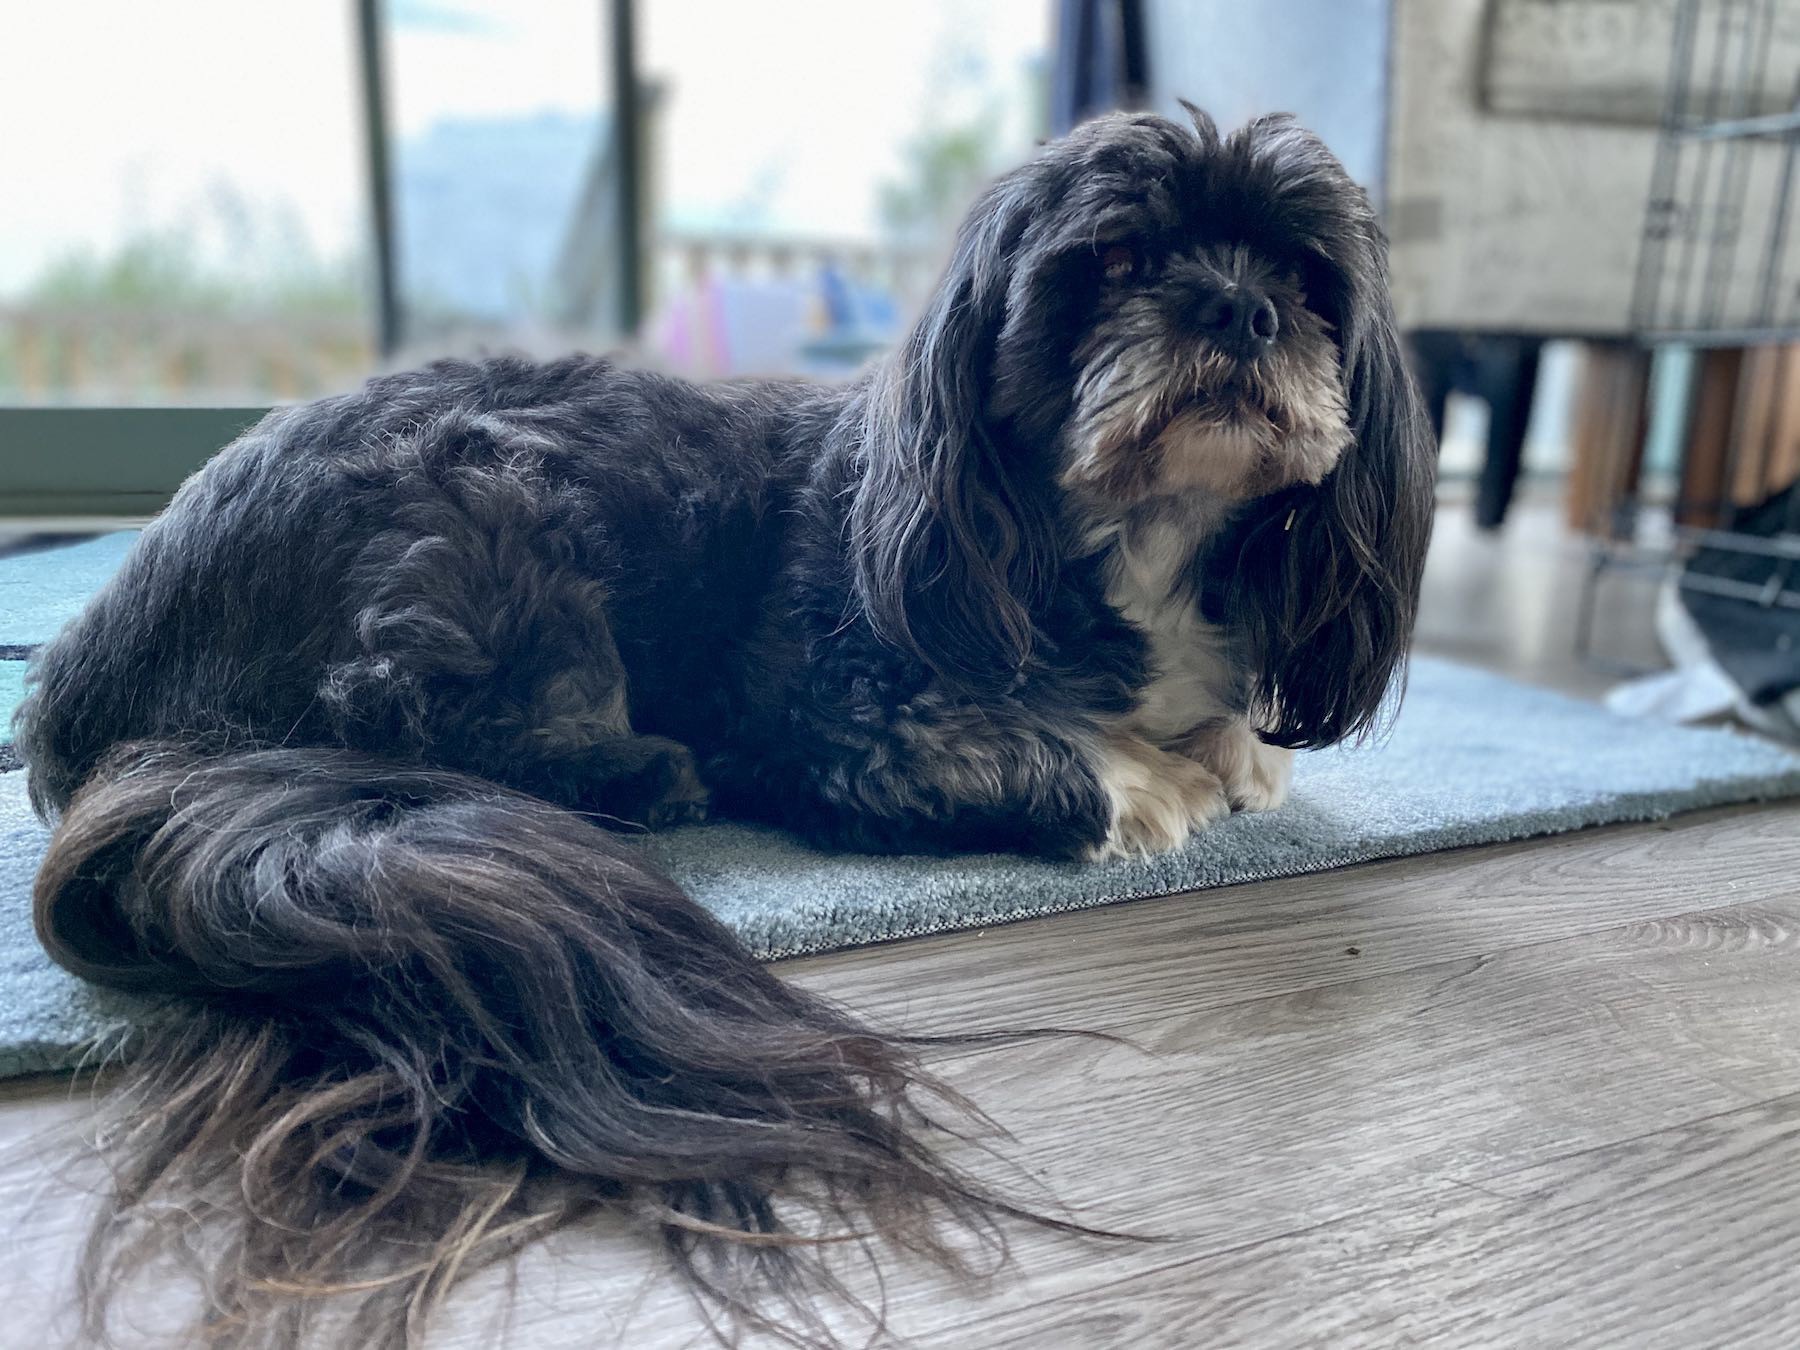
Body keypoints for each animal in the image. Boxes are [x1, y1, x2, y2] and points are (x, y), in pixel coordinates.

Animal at [17, 111, 1432, 1346]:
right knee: (429, 728)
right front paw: (1144, 782)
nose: (1237, 308)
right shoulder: (838, 718)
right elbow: (1045, 743)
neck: (1122, 537)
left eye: (1306, 279)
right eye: (1123, 259)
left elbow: (1236, 742)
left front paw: (1227, 749)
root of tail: (100, 650)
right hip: (486, 513)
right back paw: (644, 775)